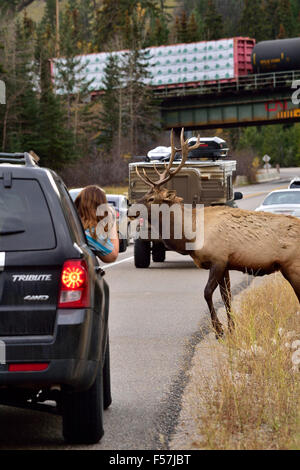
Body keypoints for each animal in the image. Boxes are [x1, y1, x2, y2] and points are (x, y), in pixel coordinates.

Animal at [137, 129, 300, 338]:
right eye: (145, 195)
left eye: (151, 198)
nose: (131, 208)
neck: (191, 235)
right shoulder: (226, 264)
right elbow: (226, 296)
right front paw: (231, 329)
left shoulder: (218, 259)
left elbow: (207, 293)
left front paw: (219, 329)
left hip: (293, 265)